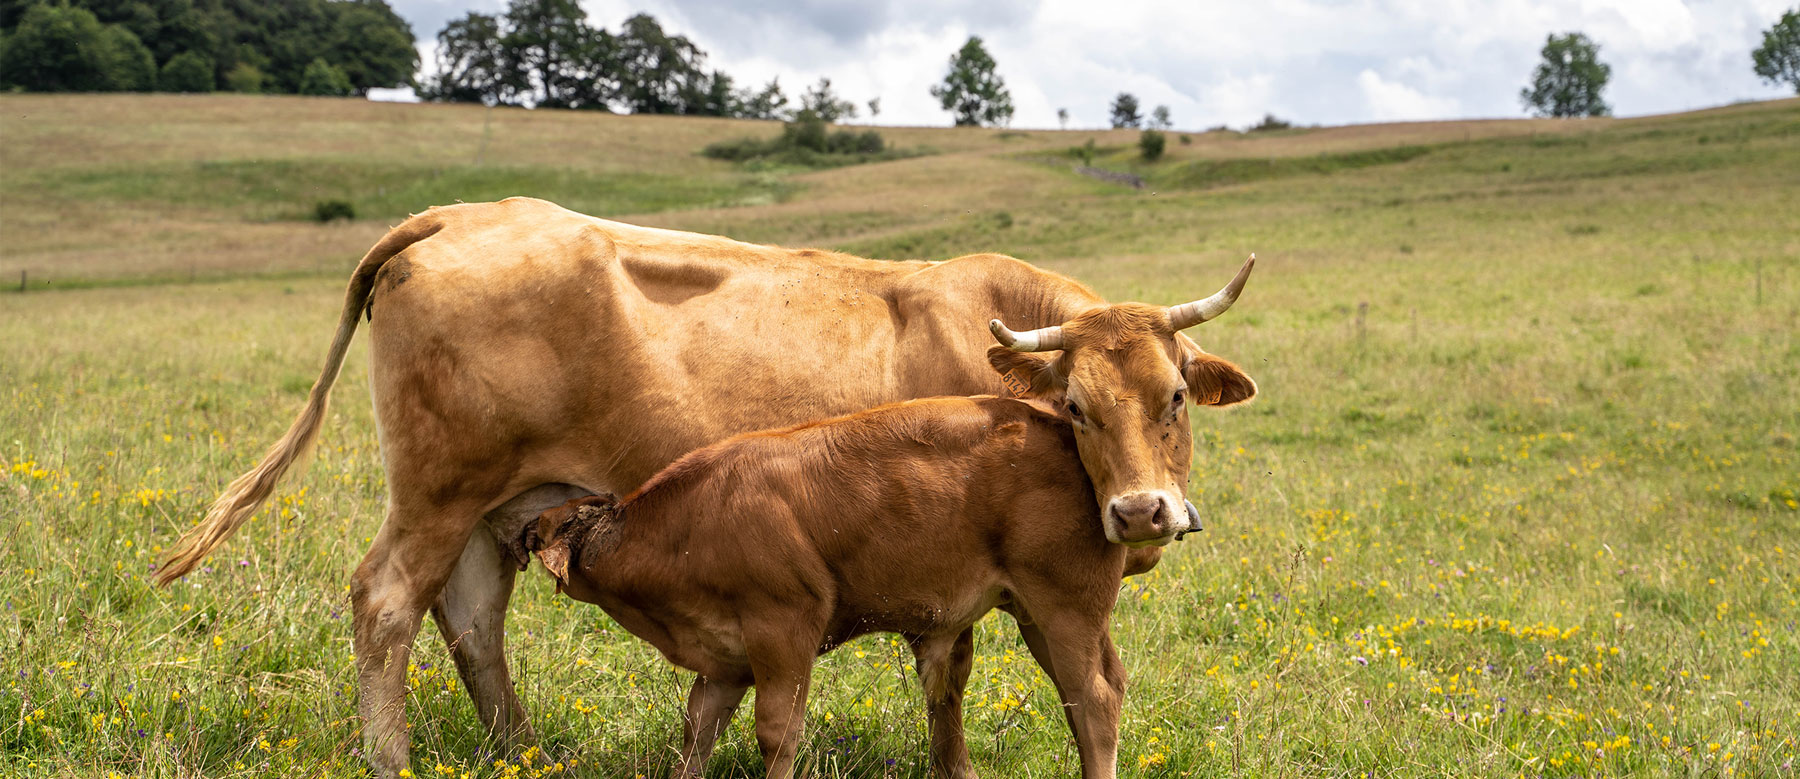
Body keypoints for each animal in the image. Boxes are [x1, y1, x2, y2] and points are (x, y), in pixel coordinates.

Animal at [522, 397, 1173, 777]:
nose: (520, 533)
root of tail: (1055, 421)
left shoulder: (784, 629)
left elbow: (777, 734)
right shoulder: (724, 660)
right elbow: (697, 732)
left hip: (1065, 604)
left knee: (1094, 696)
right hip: (1038, 613)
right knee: (1089, 692)